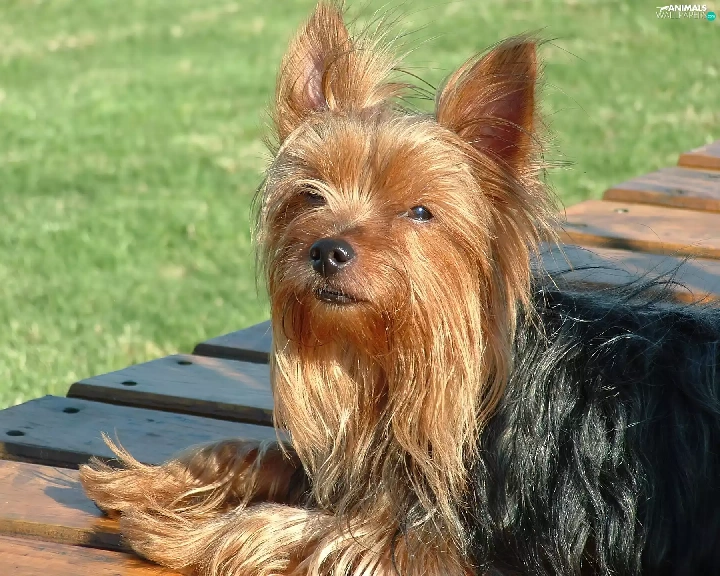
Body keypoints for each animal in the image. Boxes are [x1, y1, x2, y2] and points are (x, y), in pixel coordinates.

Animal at [80, 2, 720, 575]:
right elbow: (255, 455)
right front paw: (151, 482)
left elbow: (300, 531)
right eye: (310, 195)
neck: (396, 360)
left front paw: (175, 529)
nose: (327, 249)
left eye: (419, 212)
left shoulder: (430, 545)